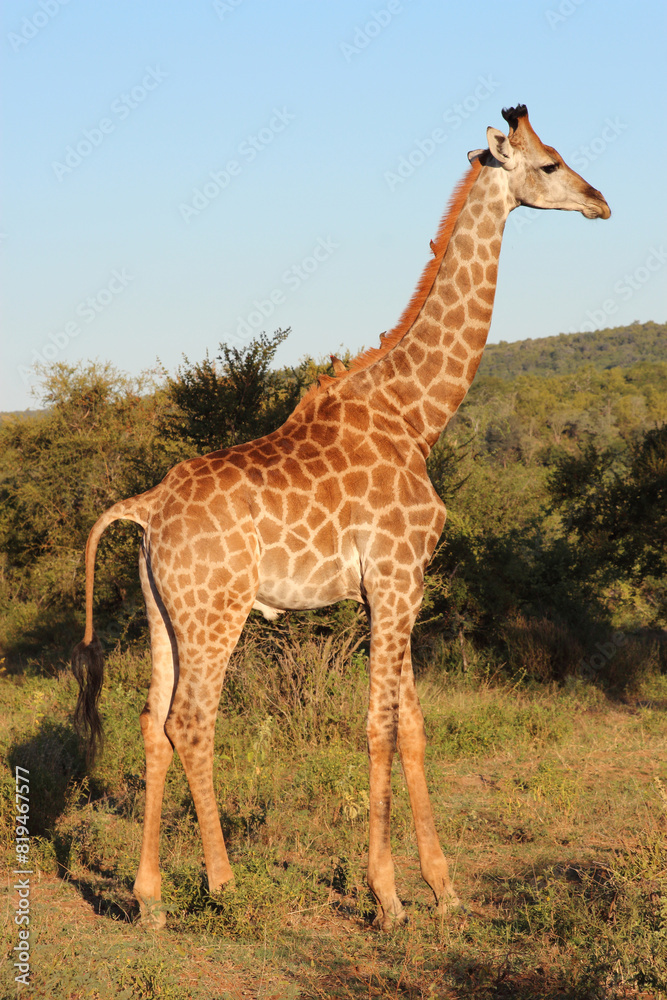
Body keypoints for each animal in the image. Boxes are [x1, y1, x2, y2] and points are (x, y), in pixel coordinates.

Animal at [72, 105, 609, 931]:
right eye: (548, 164)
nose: (598, 202)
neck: (416, 416)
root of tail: (147, 508)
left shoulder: (404, 584)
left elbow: (413, 726)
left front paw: (444, 889)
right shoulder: (391, 577)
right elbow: (379, 725)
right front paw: (387, 897)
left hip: (164, 612)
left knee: (151, 724)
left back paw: (150, 899)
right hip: (216, 611)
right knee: (191, 722)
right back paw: (223, 885)